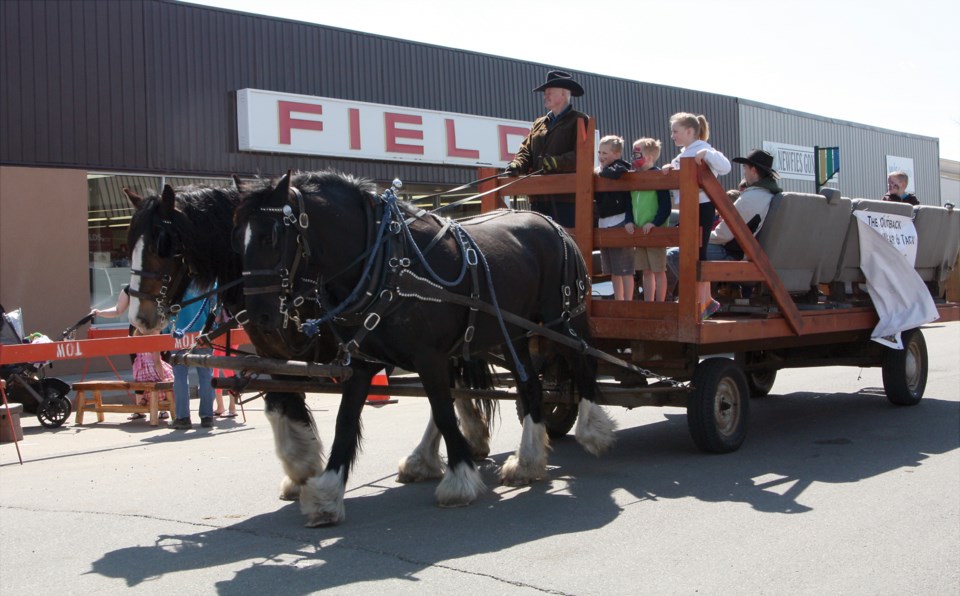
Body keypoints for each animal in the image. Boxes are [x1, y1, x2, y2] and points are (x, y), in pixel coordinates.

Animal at [232, 171, 616, 528]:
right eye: (239, 238)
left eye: (271, 236)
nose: (259, 315)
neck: (387, 262)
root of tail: (551, 224)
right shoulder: (362, 362)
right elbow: (345, 422)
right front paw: (326, 495)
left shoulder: (429, 357)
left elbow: (444, 412)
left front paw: (459, 481)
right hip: (513, 333)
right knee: (530, 387)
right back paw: (527, 463)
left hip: (560, 320)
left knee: (584, 364)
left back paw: (594, 432)